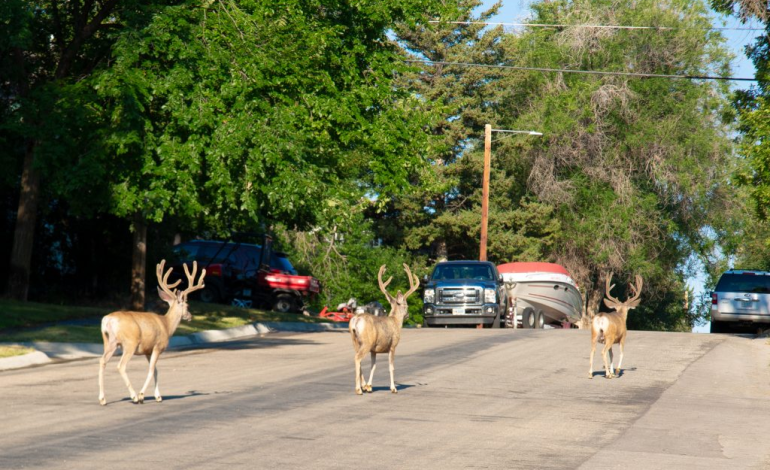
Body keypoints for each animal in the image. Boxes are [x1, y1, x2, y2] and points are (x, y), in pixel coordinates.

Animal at [97, 258, 206, 406]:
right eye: (187, 306)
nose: (190, 316)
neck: (167, 325)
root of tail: (108, 320)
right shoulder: (158, 346)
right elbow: (151, 370)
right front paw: (142, 395)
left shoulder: (148, 350)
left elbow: (155, 370)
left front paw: (158, 396)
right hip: (130, 342)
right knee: (121, 366)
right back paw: (134, 396)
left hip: (109, 341)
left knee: (102, 361)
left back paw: (102, 399)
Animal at [350, 262, 420, 394]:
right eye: (407, 305)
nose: (408, 315)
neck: (396, 322)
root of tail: (355, 320)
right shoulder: (392, 345)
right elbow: (391, 367)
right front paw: (393, 388)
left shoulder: (374, 350)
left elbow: (373, 366)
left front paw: (369, 386)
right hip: (366, 342)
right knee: (357, 358)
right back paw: (358, 389)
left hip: (355, 341)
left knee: (357, 358)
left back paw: (363, 386)